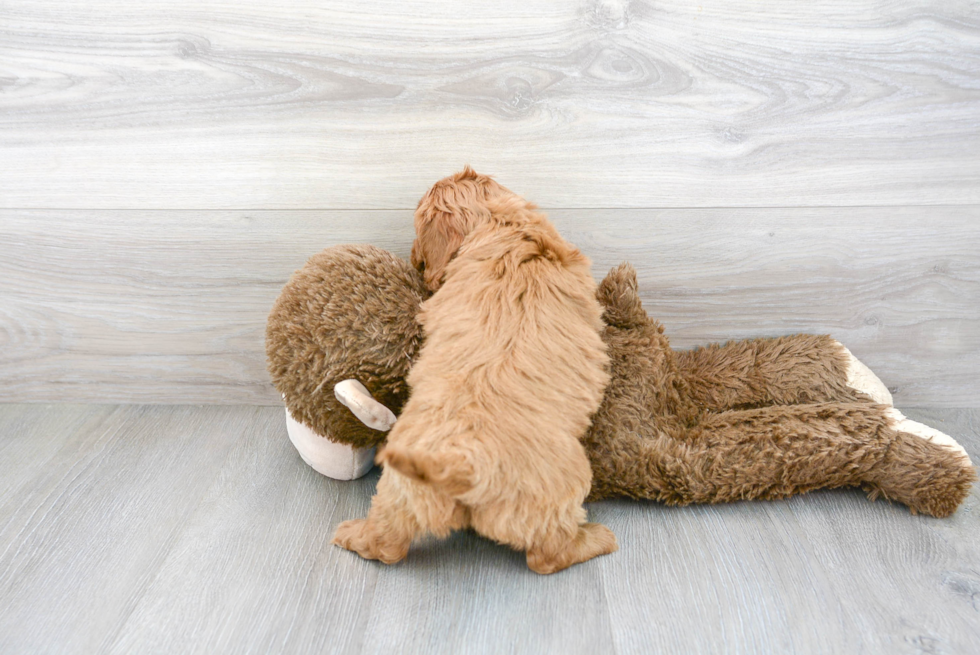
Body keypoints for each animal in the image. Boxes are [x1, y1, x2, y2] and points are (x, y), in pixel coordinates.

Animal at [334, 169, 616, 576]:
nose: (413, 257)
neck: (502, 226)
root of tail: (462, 464)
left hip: (401, 492)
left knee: (386, 543)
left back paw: (351, 534)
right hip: (560, 491)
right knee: (547, 555)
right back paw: (595, 539)